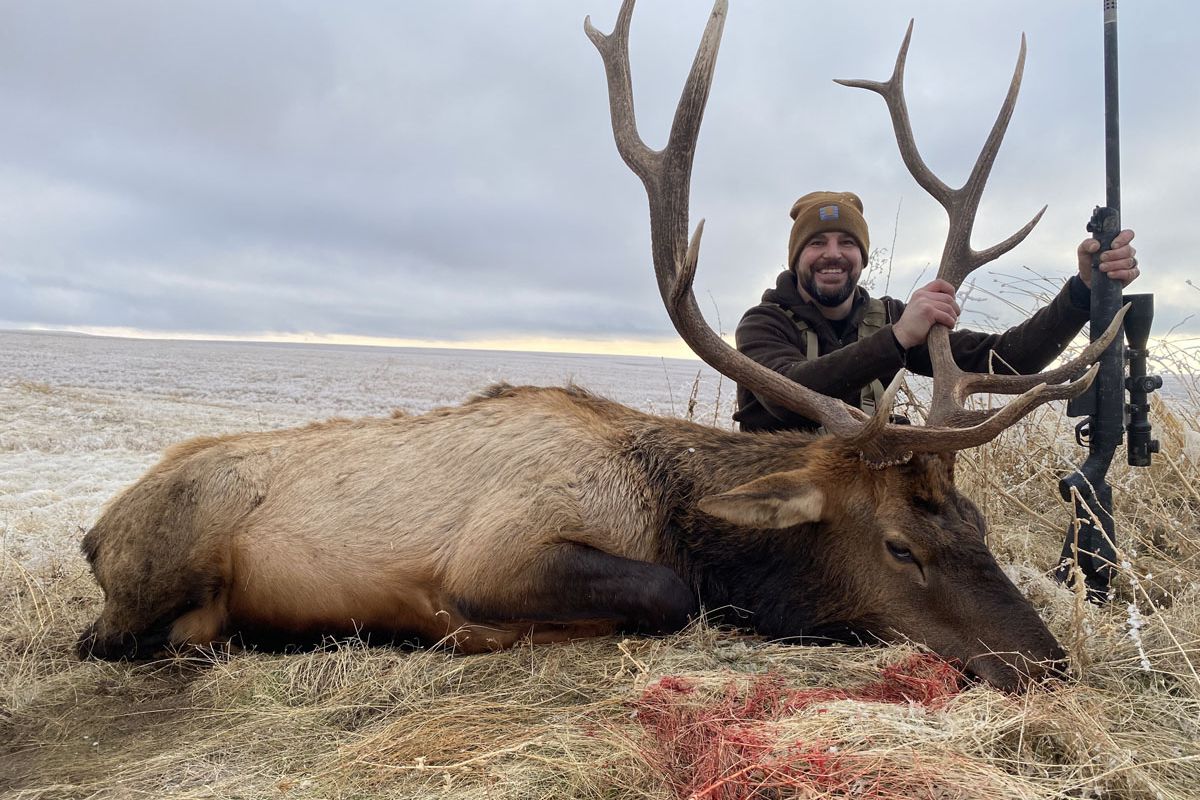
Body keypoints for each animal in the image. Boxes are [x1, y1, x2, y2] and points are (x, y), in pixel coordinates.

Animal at [77, 0, 1126, 693]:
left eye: (978, 525)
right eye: (901, 546)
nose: (1050, 663)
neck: (668, 506)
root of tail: (95, 531)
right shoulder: (499, 550)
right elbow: (668, 594)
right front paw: (476, 635)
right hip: (165, 560)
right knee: (117, 637)